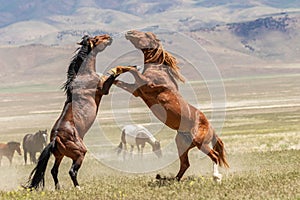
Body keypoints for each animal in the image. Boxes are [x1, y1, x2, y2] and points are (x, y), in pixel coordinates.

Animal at [25, 33, 133, 190]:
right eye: (96, 39)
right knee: (71, 171)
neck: (84, 74)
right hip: (79, 153)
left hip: (59, 155)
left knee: (54, 170)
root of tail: (55, 139)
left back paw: (58, 188)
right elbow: (115, 72)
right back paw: (78, 187)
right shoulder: (103, 89)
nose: (109, 37)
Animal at [115, 30, 230, 182]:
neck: (158, 70)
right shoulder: (136, 91)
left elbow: (132, 70)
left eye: (146, 35)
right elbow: (121, 82)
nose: (129, 32)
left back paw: (216, 177)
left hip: (200, 142)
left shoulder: (147, 84)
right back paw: (170, 179)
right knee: (185, 164)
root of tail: (211, 128)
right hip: (182, 144)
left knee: (214, 156)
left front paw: (117, 69)